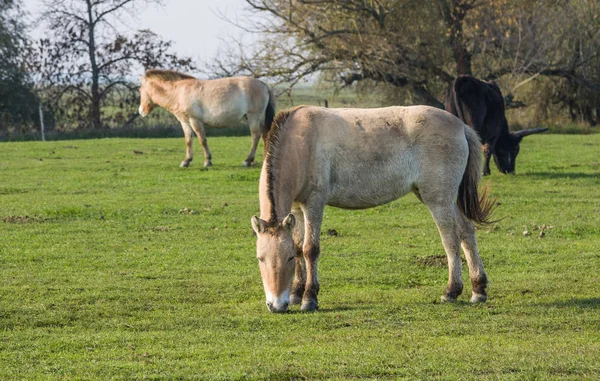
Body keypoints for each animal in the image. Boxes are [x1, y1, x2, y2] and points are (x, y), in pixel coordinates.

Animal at [138, 69, 274, 166]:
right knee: (264, 133)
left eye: (139, 90)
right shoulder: (185, 122)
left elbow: (202, 139)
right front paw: (186, 161)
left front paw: (207, 161)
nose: (141, 111)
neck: (179, 92)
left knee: (256, 135)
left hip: (253, 116)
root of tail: (263, 84)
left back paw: (248, 160)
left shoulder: (195, 120)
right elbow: (188, 140)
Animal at [251, 104, 494, 312]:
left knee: (451, 238)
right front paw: (296, 294)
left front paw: (310, 298)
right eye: (260, 259)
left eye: (287, 259)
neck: (300, 143)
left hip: (439, 199)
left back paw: (452, 291)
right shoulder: (298, 209)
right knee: (467, 230)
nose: (276, 305)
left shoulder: (314, 204)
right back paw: (478, 289)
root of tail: (460, 126)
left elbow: (310, 249)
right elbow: (300, 246)